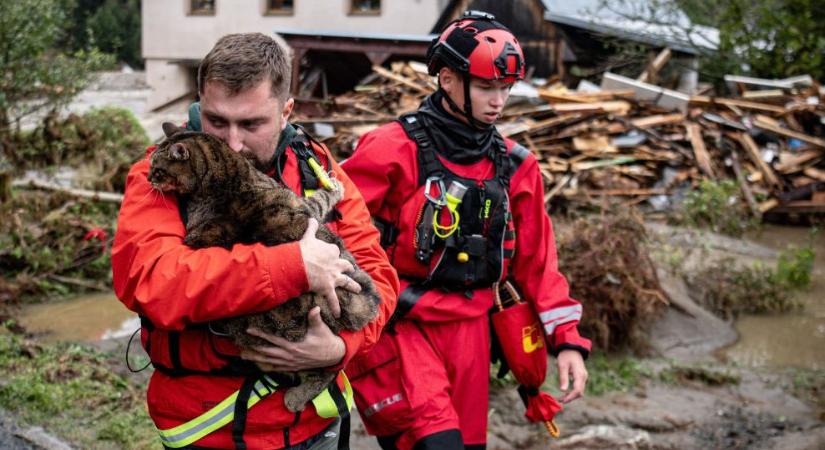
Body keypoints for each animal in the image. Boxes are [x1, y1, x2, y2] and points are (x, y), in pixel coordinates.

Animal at [148, 122, 380, 412]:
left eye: (157, 169)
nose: (148, 178)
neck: (222, 181)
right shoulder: (304, 207)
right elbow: (321, 199)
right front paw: (335, 188)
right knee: (327, 369)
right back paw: (296, 397)